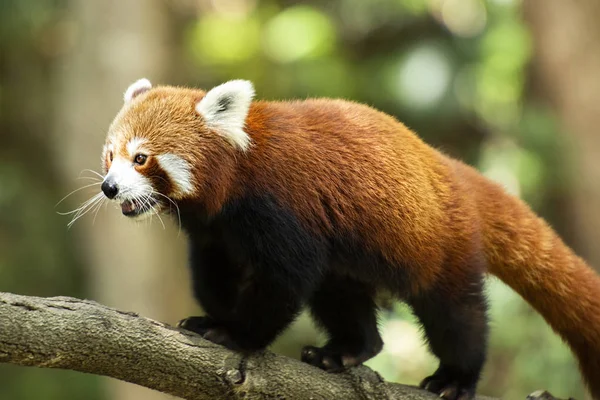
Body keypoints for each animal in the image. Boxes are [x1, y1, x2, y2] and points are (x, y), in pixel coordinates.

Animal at [98, 79, 600, 400]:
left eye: (141, 158)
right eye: (110, 155)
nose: (109, 188)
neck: (235, 176)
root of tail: (451, 169)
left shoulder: (280, 206)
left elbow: (284, 281)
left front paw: (236, 334)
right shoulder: (216, 232)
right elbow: (214, 274)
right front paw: (213, 318)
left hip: (441, 243)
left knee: (456, 314)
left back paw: (456, 378)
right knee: (339, 295)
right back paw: (346, 351)